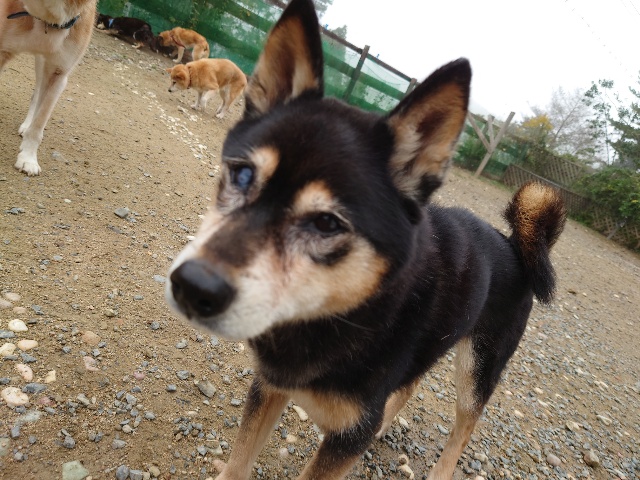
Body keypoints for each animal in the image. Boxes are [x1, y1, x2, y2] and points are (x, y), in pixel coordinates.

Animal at [0, 0, 97, 175]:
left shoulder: (58, 74)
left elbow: (39, 122)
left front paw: (28, 158)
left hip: (42, 64)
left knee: (37, 95)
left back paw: (27, 125)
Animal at [165, 0, 566, 478]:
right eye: (242, 174)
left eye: (327, 223)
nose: (192, 287)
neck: (340, 313)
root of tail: (513, 245)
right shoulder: (270, 386)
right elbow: (238, 462)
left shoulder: (347, 436)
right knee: (409, 387)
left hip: (478, 368)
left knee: (465, 426)